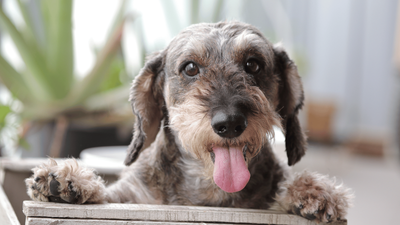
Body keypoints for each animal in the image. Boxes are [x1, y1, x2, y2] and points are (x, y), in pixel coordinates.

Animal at [25, 21, 352, 223]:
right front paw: (68, 179)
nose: (229, 123)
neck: (208, 189)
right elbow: (107, 195)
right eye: (190, 68)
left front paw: (314, 191)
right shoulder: (133, 197)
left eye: (253, 64)